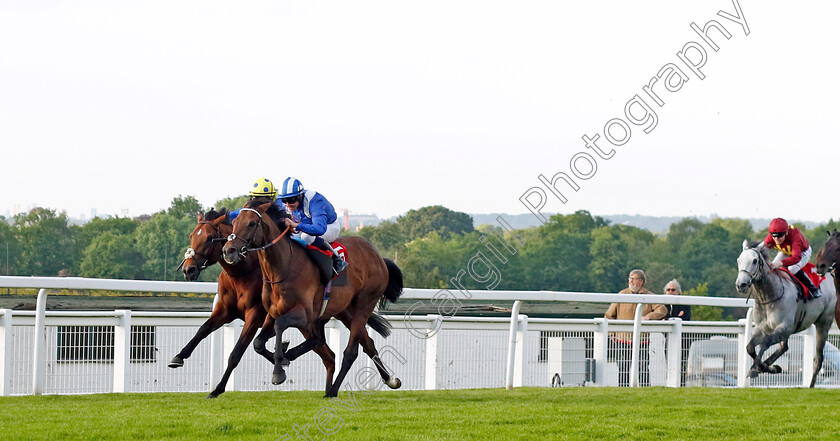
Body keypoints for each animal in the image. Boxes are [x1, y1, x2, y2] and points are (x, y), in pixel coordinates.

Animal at [169, 208, 336, 398]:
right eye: (192, 235)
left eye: (210, 238)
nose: (188, 269)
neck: (243, 272)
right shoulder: (225, 310)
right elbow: (203, 329)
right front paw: (178, 357)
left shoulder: (255, 315)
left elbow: (237, 353)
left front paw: (218, 389)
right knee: (328, 355)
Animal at [225, 199, 402, 396]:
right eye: (234, 222)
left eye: (251, 223)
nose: (228, 251)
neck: (283, 267)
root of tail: (377, 256)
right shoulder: (273, 312)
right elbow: (258, 343)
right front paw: (283, 356)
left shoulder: (303, 314)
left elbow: (280, 326)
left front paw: (279, 370)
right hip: (344, 311)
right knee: (365, 344)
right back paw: (390, 379)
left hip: (364, 305)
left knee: (350, 352)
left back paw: (332, 391)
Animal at [732, 239, 836, 386]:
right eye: (738, 260)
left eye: (754, 261)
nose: (741, 285)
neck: (768, 296)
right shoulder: (762, 328)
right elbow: (750, 347)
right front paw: (763, 368)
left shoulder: (784, 327)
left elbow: (765, 343)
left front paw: (760, 368)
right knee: (783, 347)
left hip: (823, 323)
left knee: (818, 358)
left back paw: (810, 385)